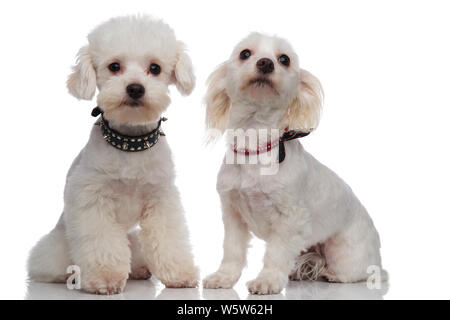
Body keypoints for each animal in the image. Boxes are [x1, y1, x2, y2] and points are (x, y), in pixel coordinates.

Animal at [26, 15, 199, 296]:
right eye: (114, 66)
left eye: (155, 68)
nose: (135, 88)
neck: (130, 144)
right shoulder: (92, 199)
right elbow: (101, 243)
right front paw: (104, 278)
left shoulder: (161, 198)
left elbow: (168, 238)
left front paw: (179, 273)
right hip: (58, 246)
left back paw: (139, 269)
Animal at [202, 33, 384, 296]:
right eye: (244, 53)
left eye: (284, 59)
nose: (265, 63)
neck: (255, 148)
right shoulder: (233, 214)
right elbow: (232, 251)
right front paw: (223, 277)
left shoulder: (289, 220)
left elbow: (276, 254)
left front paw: (267, 281)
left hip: (345, 253)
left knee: (353, 274)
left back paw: (332, 275)